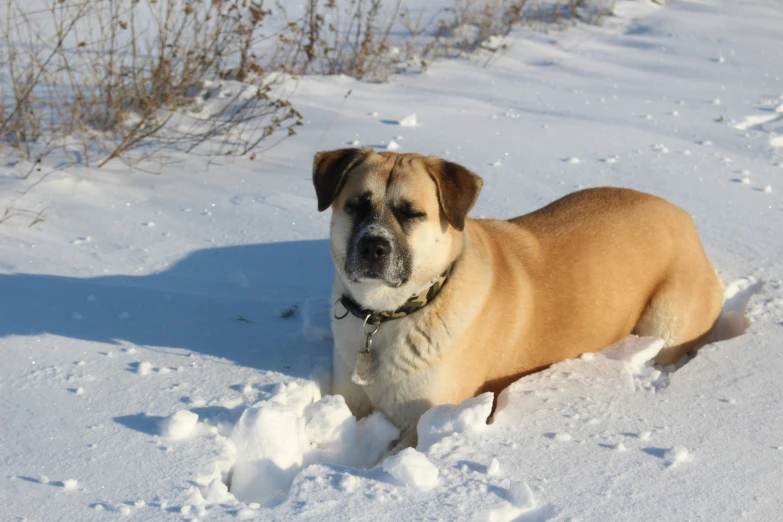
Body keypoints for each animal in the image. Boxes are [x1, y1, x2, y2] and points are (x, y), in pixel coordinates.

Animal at [310, 147, 724, 450]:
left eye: (412, 213)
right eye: (356, 205)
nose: (373, 247)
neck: (389, 316)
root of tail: (686, 219)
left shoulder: (425, 418)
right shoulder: (350, 398)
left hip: (666, 319)